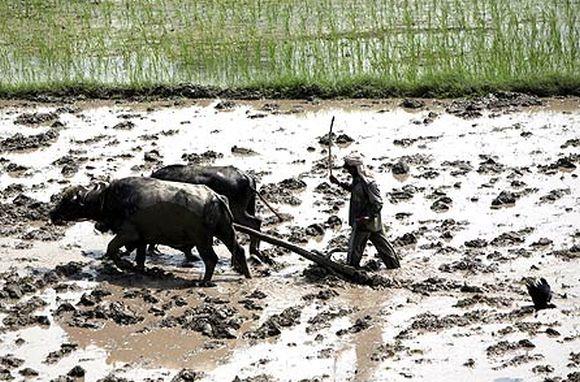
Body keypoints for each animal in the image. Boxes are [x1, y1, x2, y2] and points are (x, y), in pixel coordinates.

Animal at [52, 177, 254, 284]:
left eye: (67, 201)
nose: (51, 214)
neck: (109, 199)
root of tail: (216, 197)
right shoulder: (142, 239)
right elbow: (140, 258)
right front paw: (139, 270)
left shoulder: (128, 234)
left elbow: (111, 248)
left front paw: (124, 264)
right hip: (225, 231)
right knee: (239, 250)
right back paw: (246, 274)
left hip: (202, 239)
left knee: (212, 259)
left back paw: (203, 281)